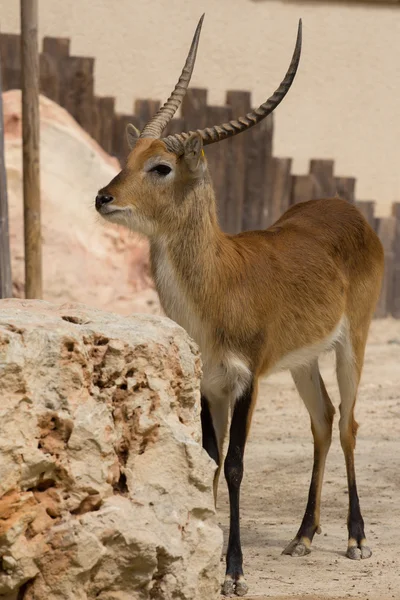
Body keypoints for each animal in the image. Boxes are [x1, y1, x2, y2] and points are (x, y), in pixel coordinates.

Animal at [94, 16, 384, 596]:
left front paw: (234, 571)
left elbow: (234, 466)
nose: (103, 197)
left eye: (161, 167)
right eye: (129, 158)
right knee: (323, 419)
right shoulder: (210, 382)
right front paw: (203, 559)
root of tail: (348, 209)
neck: (219, 284)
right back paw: (303, 537)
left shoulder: (245, 379)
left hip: (352, 344)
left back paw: (355, 539)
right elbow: (207, 459)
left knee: (348, 424)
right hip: (301, 362)